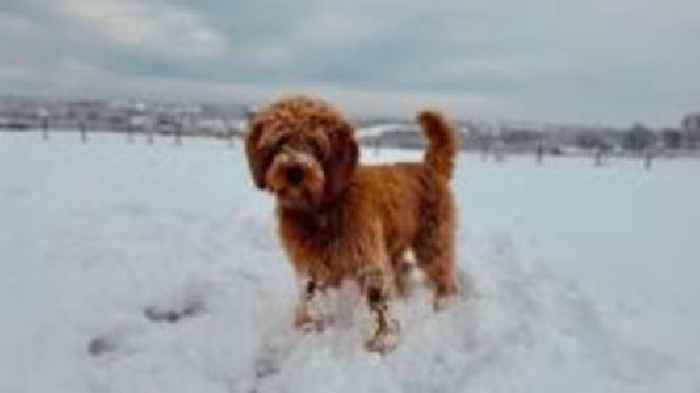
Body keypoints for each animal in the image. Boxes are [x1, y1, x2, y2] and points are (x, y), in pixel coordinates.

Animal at [245, 95, 460, 352]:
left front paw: (382, 341)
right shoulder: (312, 264)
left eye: (316, 143)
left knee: (443, 275)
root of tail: (429, 166)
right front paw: (307, 326)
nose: (295, 171)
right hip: (395, 246)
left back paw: (443, 304)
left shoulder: (368, 258)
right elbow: (309, 295)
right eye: (281, 140)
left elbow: (378, 301)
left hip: (433, 241)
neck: (323, 208)